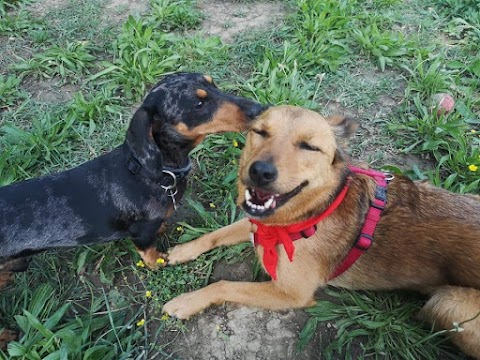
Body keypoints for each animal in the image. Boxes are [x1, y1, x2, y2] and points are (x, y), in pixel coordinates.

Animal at [162, 105, 480, 358]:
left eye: (309, 147)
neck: (315, 210)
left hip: (448, 303)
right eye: (260, 132)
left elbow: (223, 285)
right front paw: (181, 251)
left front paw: (186, 302)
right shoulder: (258, 222)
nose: (260, 172)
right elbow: (215, 234)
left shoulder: (290, 294)